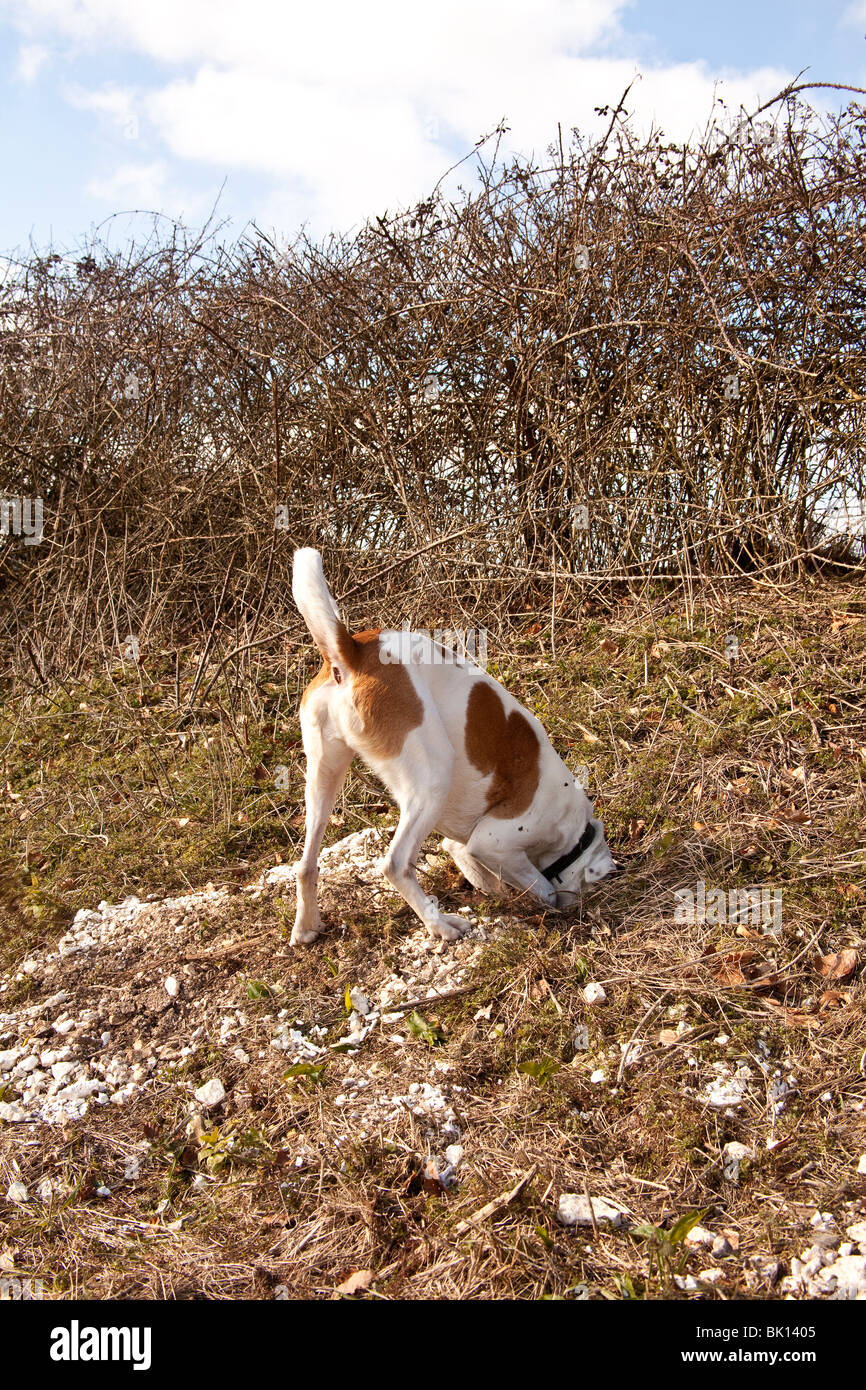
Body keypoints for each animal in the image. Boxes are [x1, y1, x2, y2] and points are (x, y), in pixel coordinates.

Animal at [291, 547, 617, 950]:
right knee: (396, 865)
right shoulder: (494, 842)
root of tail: (353, 650)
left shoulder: (464, 848)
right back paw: (441, 925)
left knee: (306, 864)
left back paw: (306, 926)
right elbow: (542, 886)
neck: (572, 830)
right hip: (433, 778)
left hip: (324, 776)